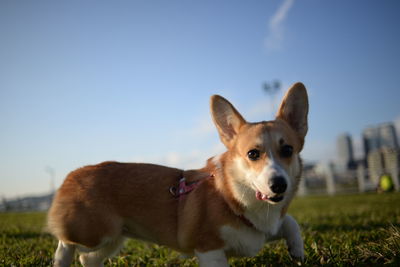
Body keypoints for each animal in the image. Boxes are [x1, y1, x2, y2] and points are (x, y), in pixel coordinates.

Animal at [47, 82, 310, 266]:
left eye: (287, 150)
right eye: (253, 154)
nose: (279, 185)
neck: (235, 196)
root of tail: (72, 174)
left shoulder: (262, 232)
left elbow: (291, 222)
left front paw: (297, 251)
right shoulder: (210, 251)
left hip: (114, 238)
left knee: (87, 258)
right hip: (96, 233)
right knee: (66, 242)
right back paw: (60, 260)